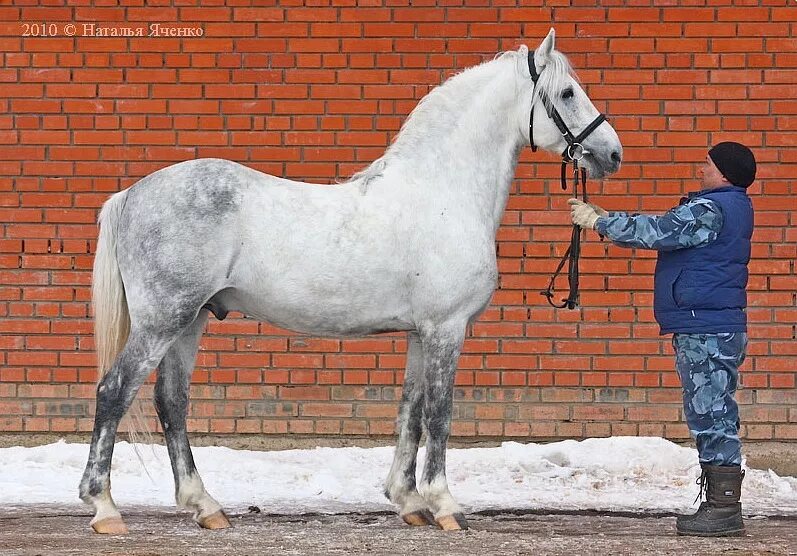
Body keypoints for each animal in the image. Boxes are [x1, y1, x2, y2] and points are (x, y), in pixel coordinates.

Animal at [79, 30, 620, 536]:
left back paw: (205, 506)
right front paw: (445, 506)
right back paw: (105, 508)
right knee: (114, 391)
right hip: (162, 321)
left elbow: (411, 411)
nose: (611, 153)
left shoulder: (420, 333)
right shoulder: (447, 328)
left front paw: (408, 501)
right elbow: (440, 414)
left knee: (171, 402)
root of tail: (131, 194)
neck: (442, 193)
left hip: (189, 322)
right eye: (568, 92)